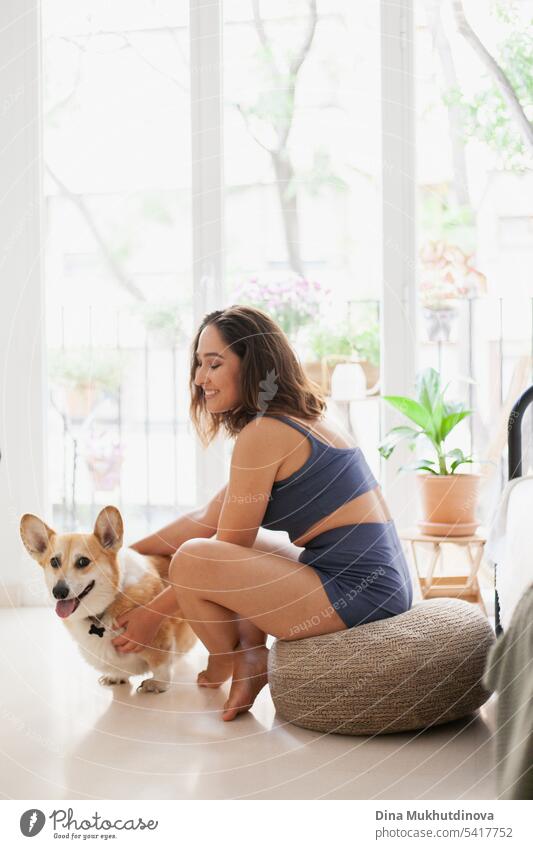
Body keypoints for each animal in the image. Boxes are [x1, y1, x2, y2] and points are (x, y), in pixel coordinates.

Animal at [20, 504, 196, 688]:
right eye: (54, 562)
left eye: (83, 561)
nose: (59, 592)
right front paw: (116, 676)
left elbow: (160, 666)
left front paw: (157, 685)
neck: (109, 602)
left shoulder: (158, 638)